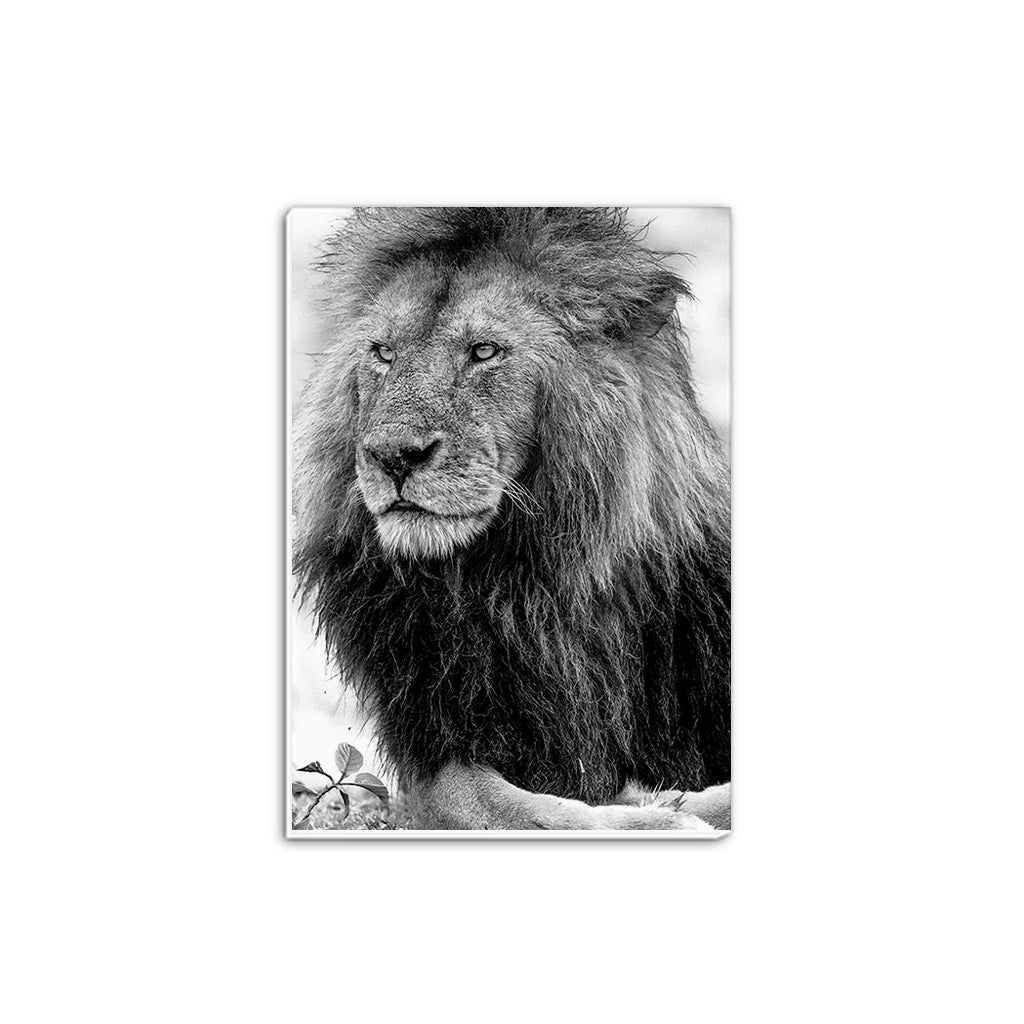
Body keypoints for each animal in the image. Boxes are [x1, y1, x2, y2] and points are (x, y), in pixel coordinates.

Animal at [293, 207, 730, 830]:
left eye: (484, 351)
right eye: (382, 352)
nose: (392, 455)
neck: (539, 582)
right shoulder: (436, 754)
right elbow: (507, 805)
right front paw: (655, 816)